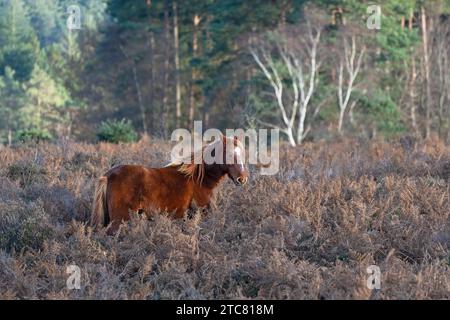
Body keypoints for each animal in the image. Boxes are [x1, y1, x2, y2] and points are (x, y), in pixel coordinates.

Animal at [89, 135, 248, 232]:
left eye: (243, 154)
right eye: (229, 154)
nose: (242, 179)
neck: (199, 177)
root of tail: (107, 176)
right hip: (120, 220)